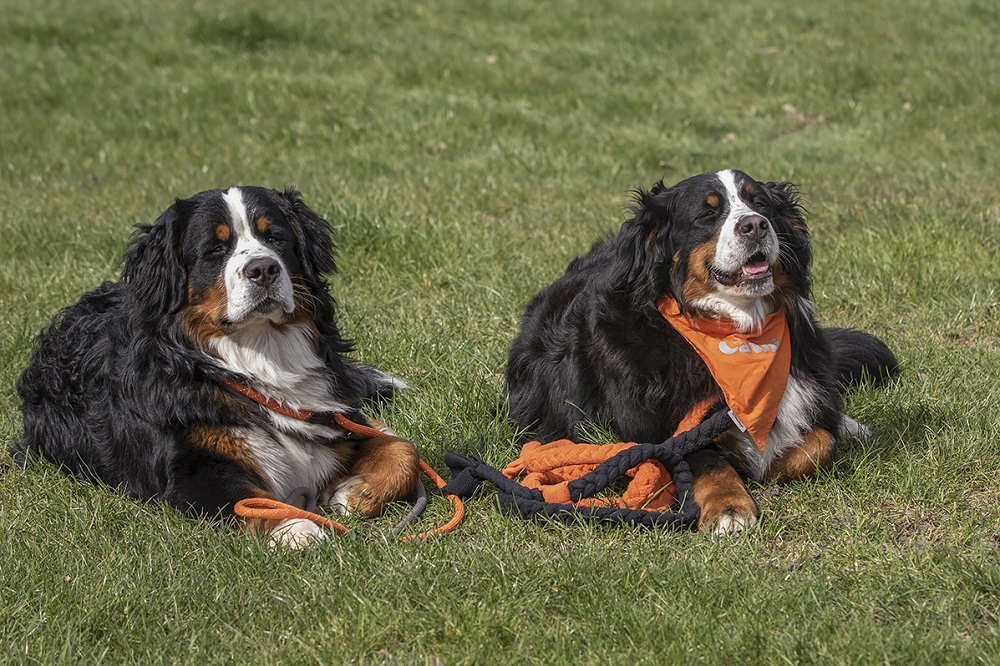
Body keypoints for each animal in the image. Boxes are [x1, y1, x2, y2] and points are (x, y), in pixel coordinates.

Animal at [13, 185, 418, 544]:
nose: (263, 269)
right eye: (215, 248)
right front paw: (296, 528)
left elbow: (402, 449)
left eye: (275, 238)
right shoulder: (195, 471)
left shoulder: (334, 418)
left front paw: (357, 492)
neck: (261, 355)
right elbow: (250, 500)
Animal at [508, 170, 900, 536]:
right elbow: (708, 460)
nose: (755, 225)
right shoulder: (653, 436)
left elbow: (818, 443)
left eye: (760, 204)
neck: (739, 327)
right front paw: (729, 506)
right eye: (707, 214)